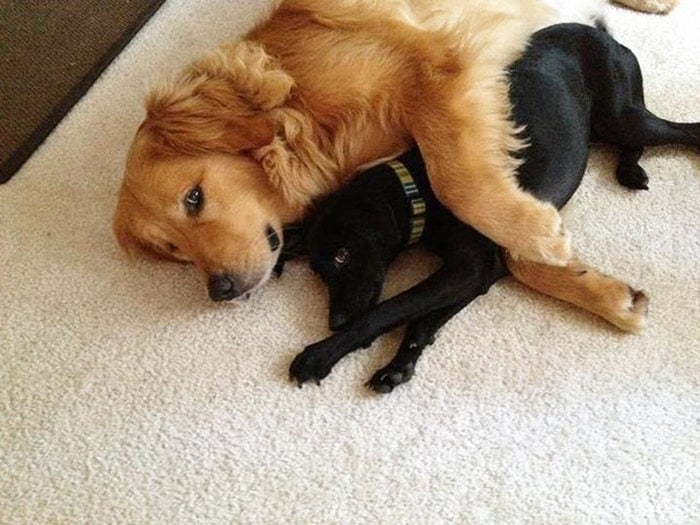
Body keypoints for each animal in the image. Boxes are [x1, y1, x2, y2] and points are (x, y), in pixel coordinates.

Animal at [288, 25, 696, 392]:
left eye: (342, 255)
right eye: (318, 270)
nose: (335, 322)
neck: (417, 188)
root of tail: (599, 32)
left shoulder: (467, 267)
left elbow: (388, 310)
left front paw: (320, 354)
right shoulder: (480, 272)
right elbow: (422, 320)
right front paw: (400, 363)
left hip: (622, 117)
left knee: (688, 131)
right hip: (613, 124)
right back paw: (630, 171)